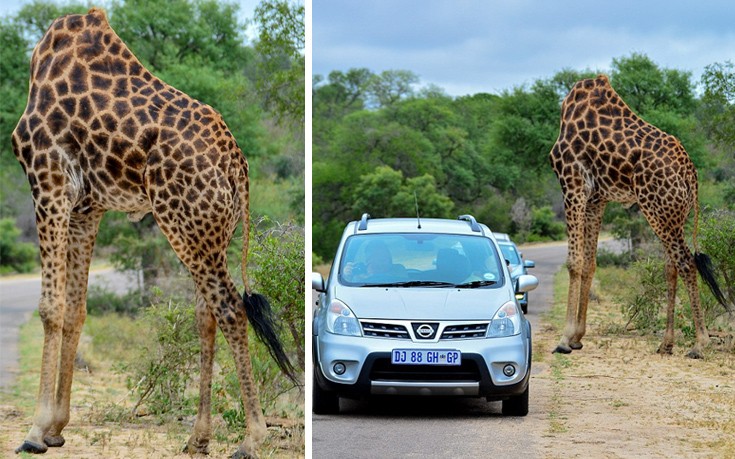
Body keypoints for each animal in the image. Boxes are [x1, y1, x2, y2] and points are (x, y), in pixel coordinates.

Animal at [10, 8, 294, 459]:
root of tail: (238, 166)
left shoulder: (47, 176)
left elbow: (50, 307)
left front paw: (36, 432)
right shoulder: (87, 206)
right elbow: (76, 309)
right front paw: (56, 428)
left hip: (184, 223)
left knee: (231, 309)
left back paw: (253, 437)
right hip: (210, 233)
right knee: (207, 315)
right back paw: (198, 437)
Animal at [548, 74, 728, 360]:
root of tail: (691, 174)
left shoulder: (572, 180)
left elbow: (574, 262)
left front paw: (564, 340)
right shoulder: (597, 198)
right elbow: (590, 263)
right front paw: (577, 338)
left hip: (657, 210)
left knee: (686, 263)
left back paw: (700, 344)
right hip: (672, 215)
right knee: (671, 267)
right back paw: (666, 344)